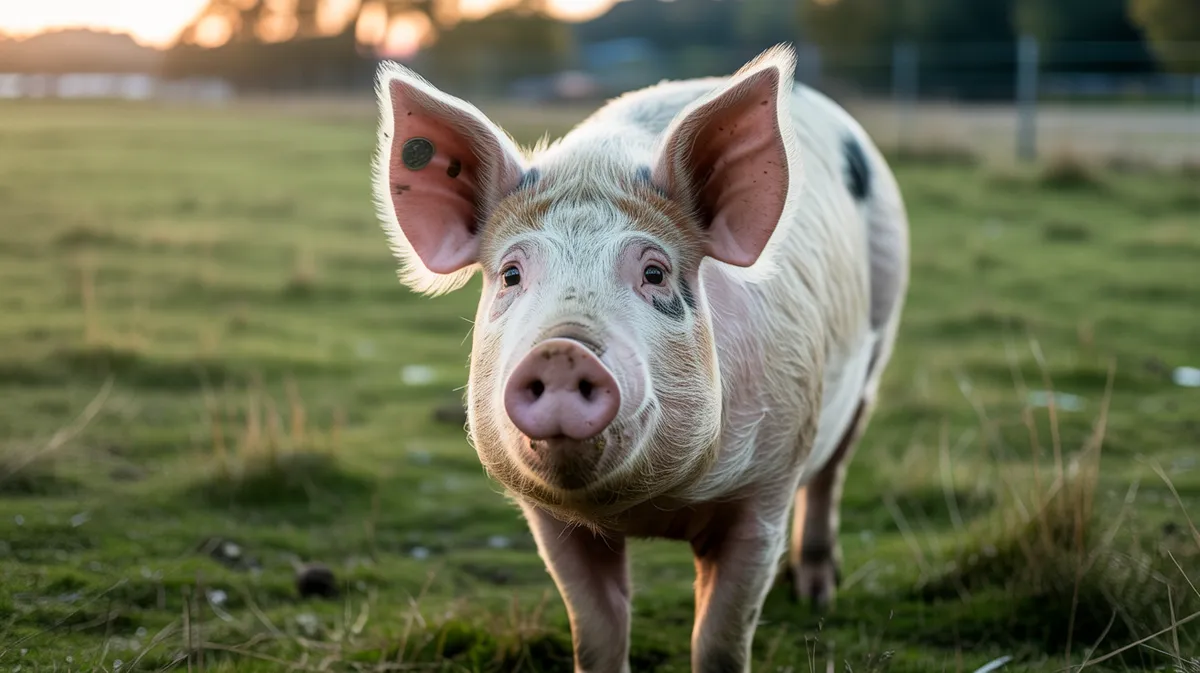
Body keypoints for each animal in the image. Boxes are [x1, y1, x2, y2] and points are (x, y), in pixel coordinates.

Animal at [371, 45, 909, 673]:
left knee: (832, 471)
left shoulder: (767, 484)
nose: (560, 350)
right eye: (510, 274)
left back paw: (815, 593)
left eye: (654, 273)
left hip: (874, 355)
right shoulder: (549, 519)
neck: (651, 508)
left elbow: (721, 638)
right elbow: (597, 631)